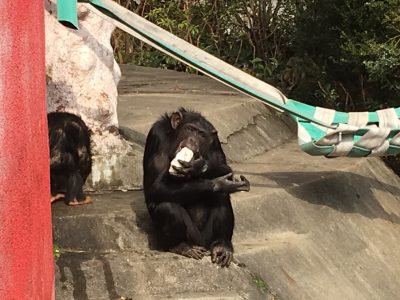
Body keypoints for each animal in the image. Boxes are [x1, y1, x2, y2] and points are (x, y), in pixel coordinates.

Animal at [144, 107, 250, 268]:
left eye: (201, 134)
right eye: (190, 129)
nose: (193, 140)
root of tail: (201, 244)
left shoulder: (215, 142)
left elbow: (225, 169)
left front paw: (198, 167)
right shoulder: (157, 135)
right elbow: (155, 187)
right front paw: (217, 182)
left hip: (207, 238)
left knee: (221, 197)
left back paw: (222, 246)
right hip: (190, 237)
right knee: (167, 207)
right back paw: (180, 246)